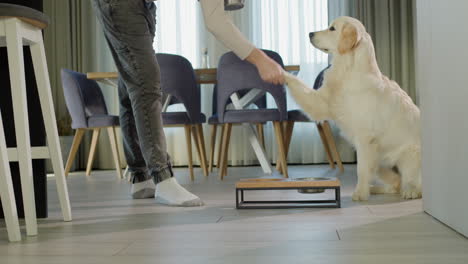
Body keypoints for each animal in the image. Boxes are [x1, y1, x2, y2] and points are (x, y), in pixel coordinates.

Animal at [284, 16, 422, 200]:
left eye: (332, 28)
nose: (310, 33)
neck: (348, 70)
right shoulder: (320, 102)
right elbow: (299, 86)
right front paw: (279, 72)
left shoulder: (365, 138)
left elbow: (361, 169)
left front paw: (360, 194)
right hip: (380, 161)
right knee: (395, 183)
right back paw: (376, 189)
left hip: (408, 155)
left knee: (411, 181)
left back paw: (411, 191)